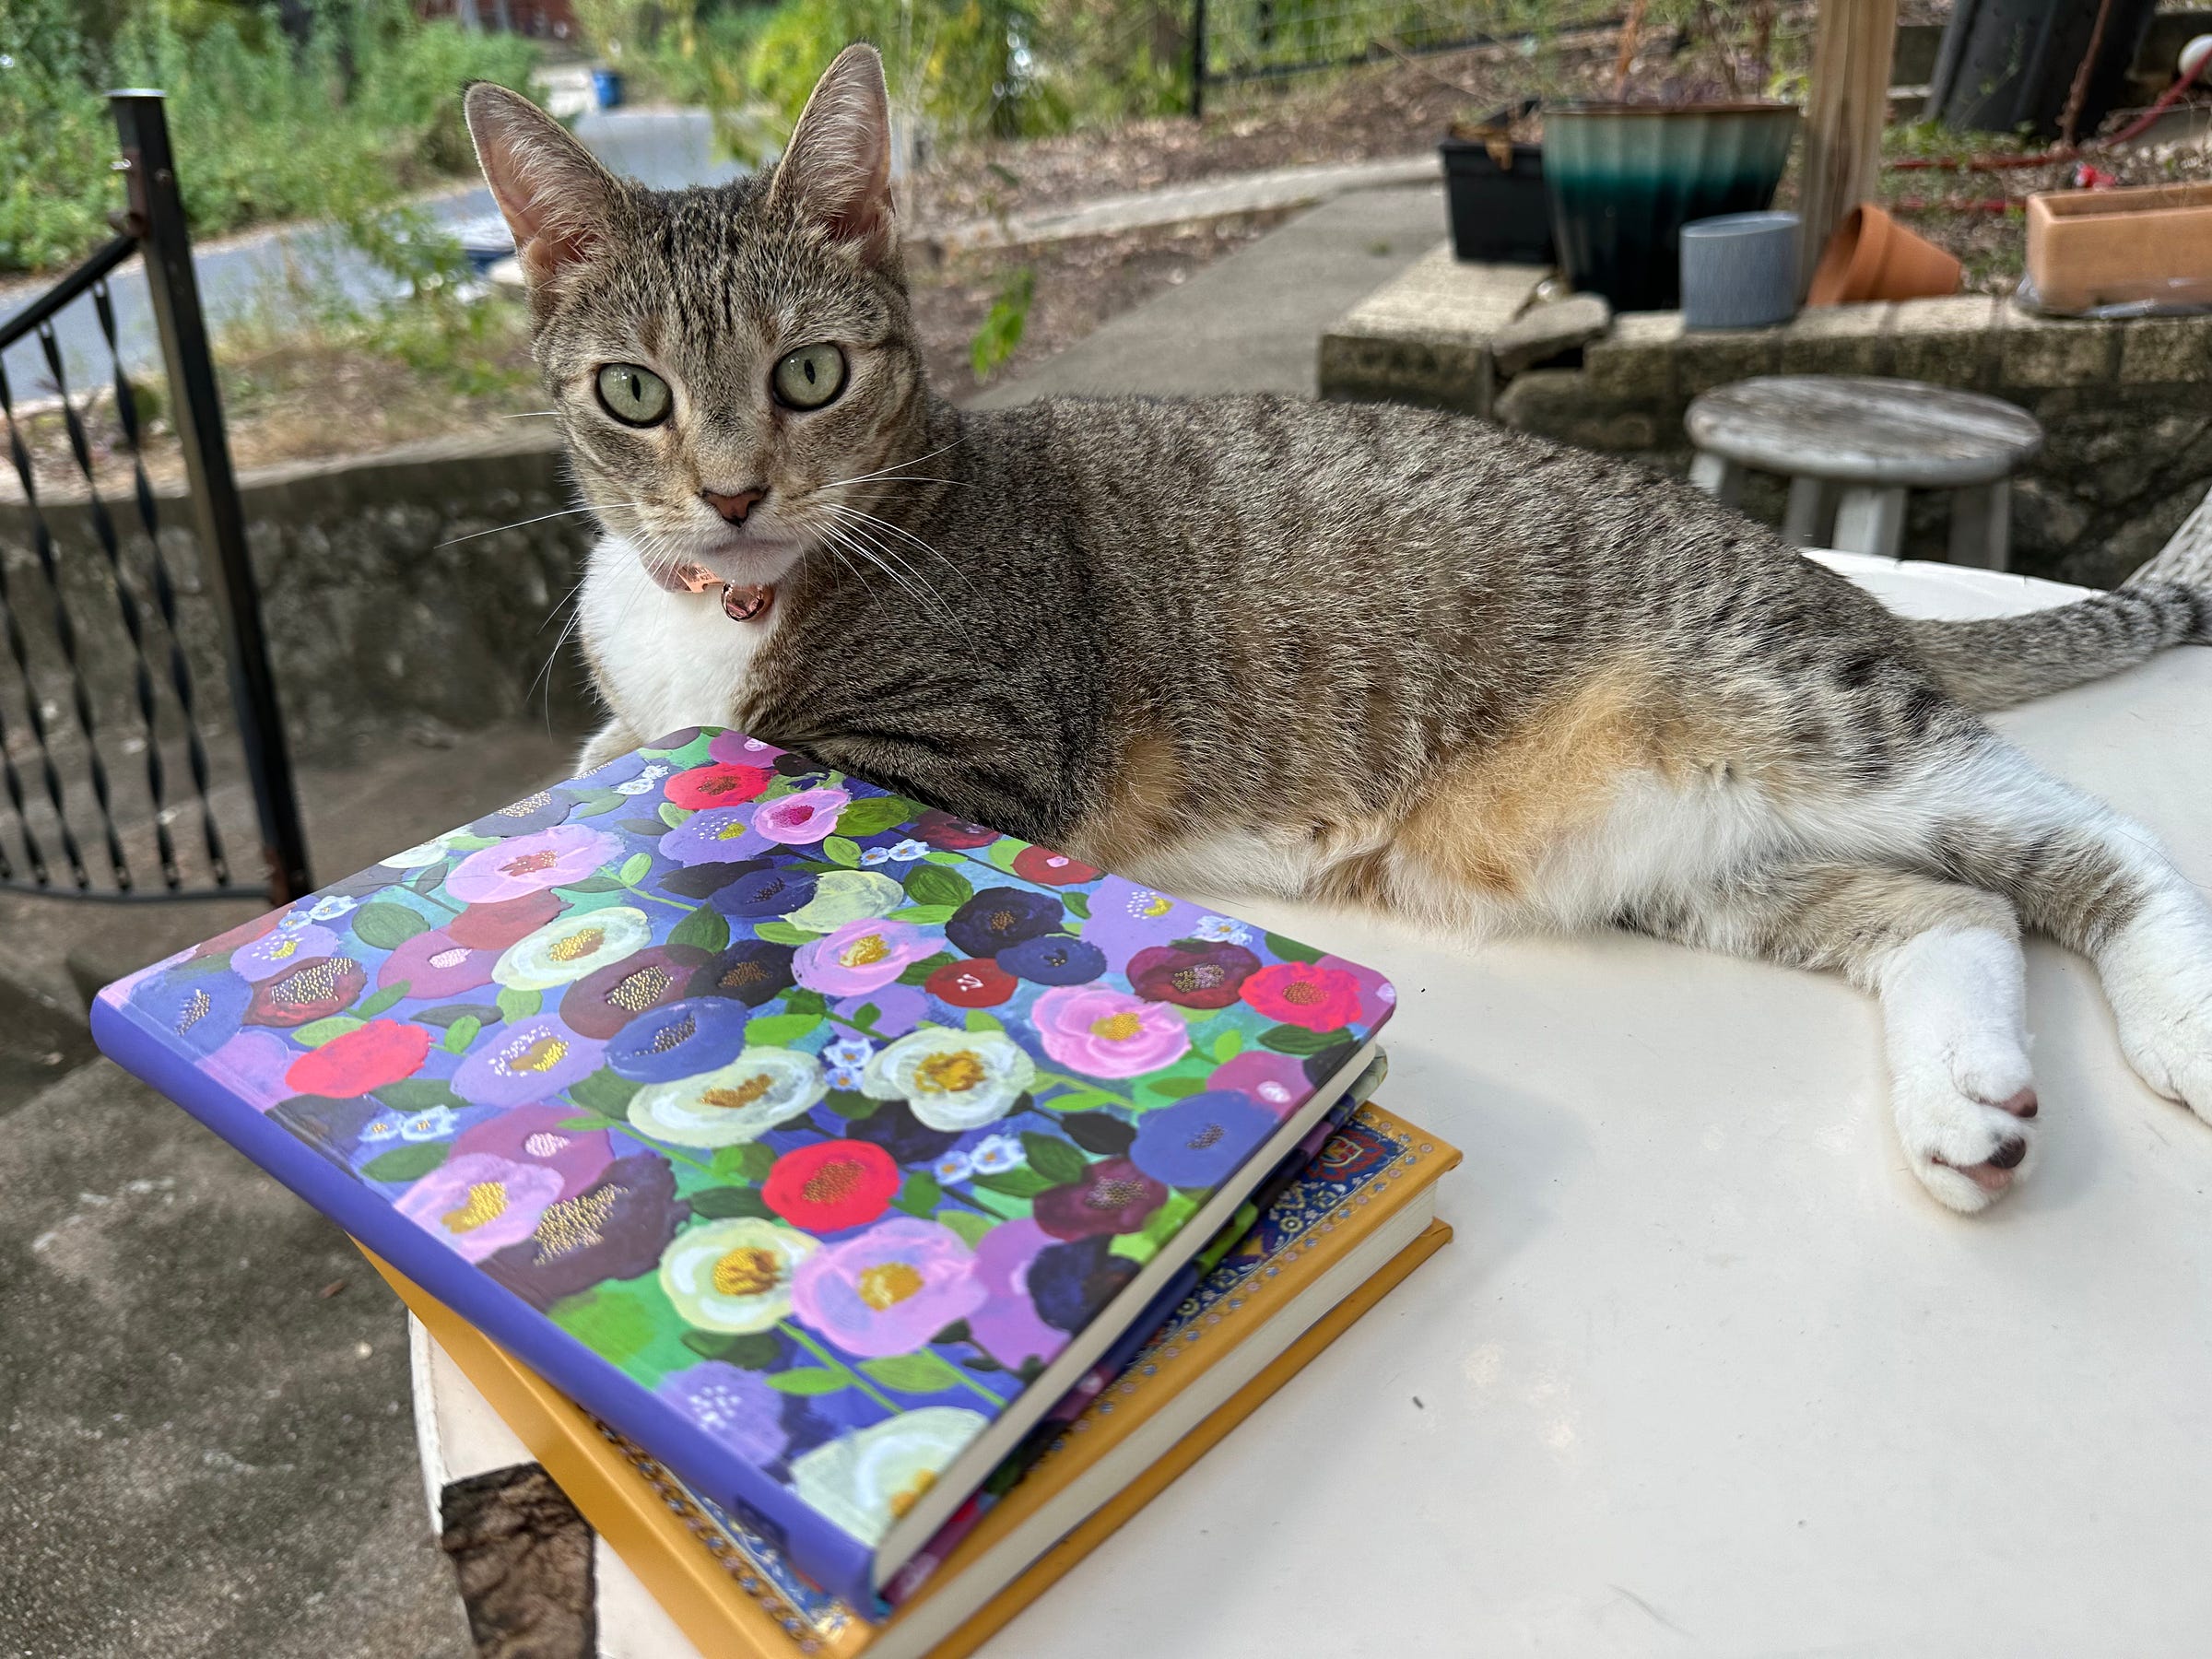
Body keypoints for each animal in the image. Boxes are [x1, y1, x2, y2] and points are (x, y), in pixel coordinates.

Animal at [462, 45, 2212, 1212]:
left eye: (811, 374)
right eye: (635, 395)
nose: (733, 494)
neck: (729, 599)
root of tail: (1830, 582)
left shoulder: (959, 757)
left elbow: (748, 749)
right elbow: (626, 732)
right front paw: (610, 745)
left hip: (1799, 715)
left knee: (2094, 843)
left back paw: (2180, 1024)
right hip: (1696, 859)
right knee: (1956, 910)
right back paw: (1966, 1102)